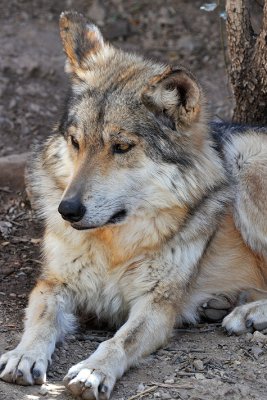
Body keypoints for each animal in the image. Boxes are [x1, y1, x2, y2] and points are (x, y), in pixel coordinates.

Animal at [0, 11, 267, 400]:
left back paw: (244, 314)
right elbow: (41, 320)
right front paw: (24, 355)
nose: (68, 210)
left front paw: (93, 371)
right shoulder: (54, 283)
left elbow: (120, 340)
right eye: (76, 142)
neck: (113, 245)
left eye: (121, 147)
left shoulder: (157, 305)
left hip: (246, 160)